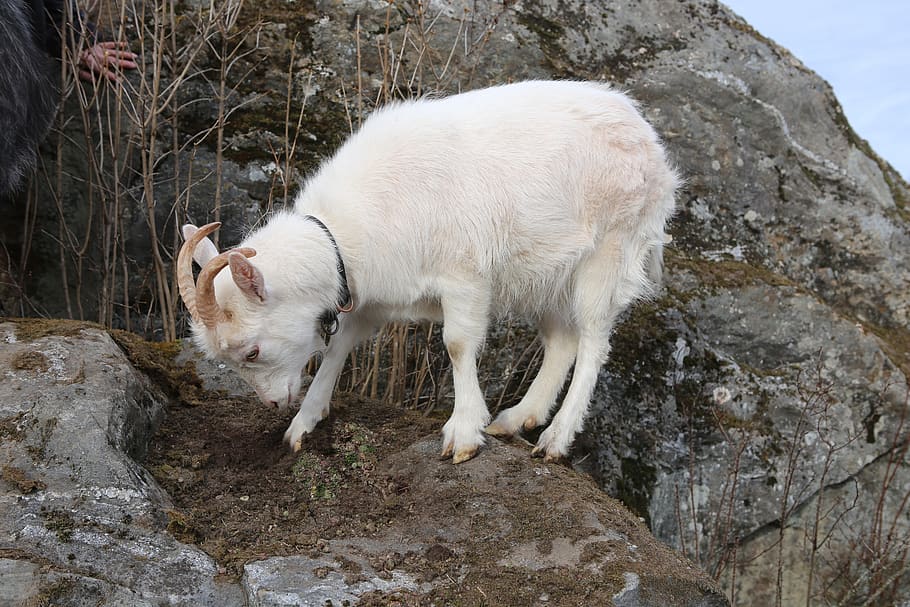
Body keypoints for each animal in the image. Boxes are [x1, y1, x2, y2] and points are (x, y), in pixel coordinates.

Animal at [178, 80, 678, 463]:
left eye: (251, 352)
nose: (273, 402)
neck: (348, 229)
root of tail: (650, 142)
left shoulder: (465, 276)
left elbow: (457, 345)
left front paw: (463, 435)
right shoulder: (369, 297)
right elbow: (339, 346)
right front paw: (302, 424)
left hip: (609, 252)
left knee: (593, 341)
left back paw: (555, 439)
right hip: (544, 274)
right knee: (562, 340)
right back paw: (517, 418)